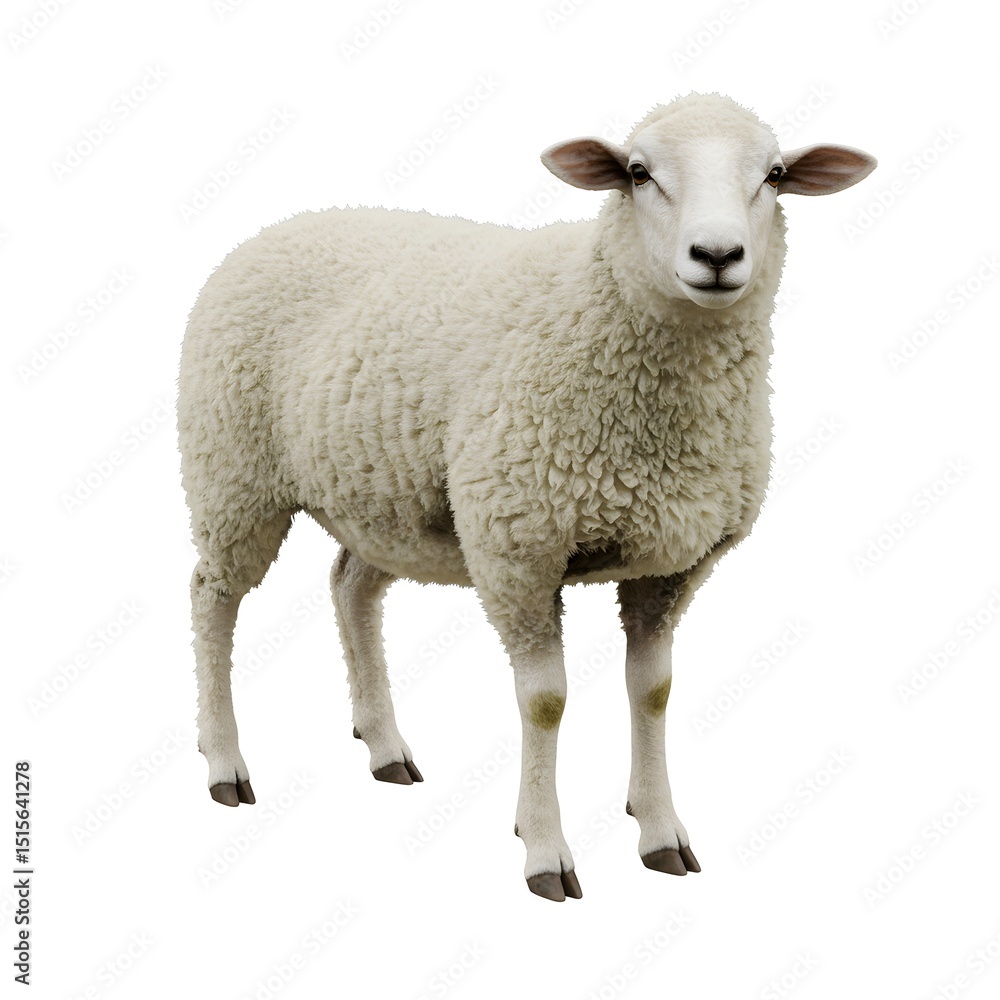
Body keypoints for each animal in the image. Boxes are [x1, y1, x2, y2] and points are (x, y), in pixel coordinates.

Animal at [178, 92, 875, 901]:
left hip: (384, 497)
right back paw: (224, 761)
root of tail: (286, 224)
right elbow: (545, 702)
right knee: (213, 597)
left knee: (350, 587)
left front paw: (660, 830)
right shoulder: (519, 549)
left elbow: (654, 691)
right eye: (637, 173)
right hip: (234, 473)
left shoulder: (672, 563)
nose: (717, 256)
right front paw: (544, 849)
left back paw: (385, 747)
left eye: (775, 174)